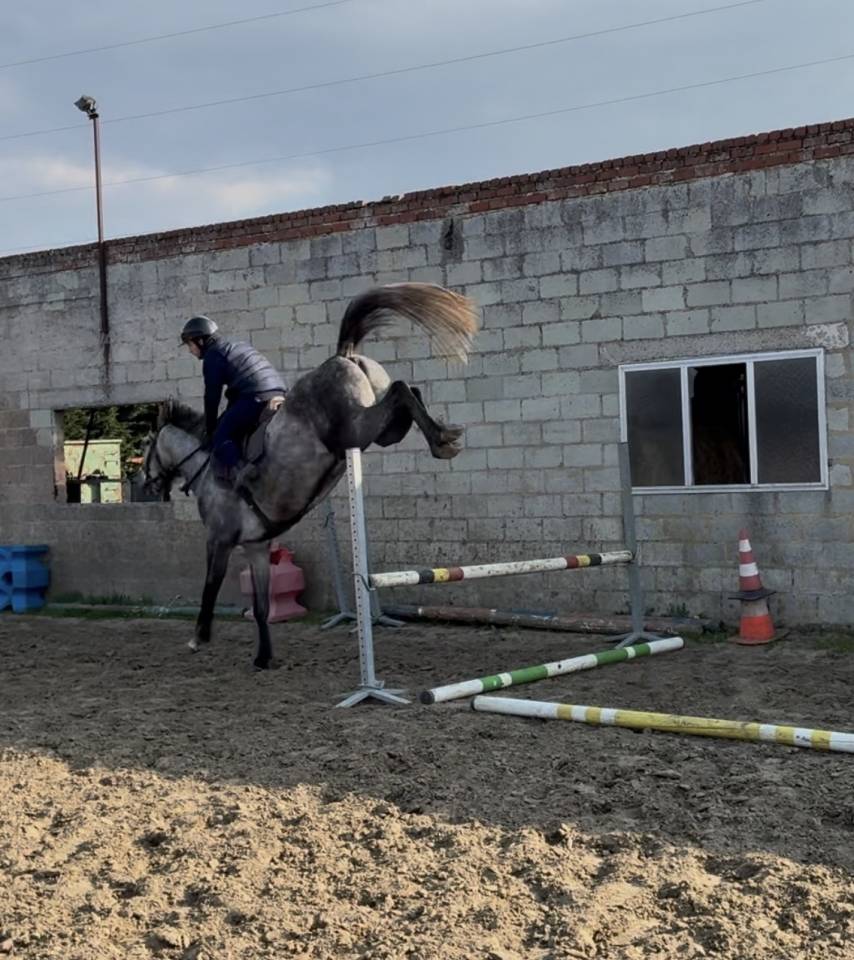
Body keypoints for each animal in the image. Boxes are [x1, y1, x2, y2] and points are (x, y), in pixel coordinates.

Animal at [142, 283, 479, 670]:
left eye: (146, 447)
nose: (146, 485)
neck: (205, 466)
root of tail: (345, 355)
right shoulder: (257, 547)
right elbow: (261, 607)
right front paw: (264, 657)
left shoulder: (220, 539)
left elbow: (210, 586)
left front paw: (199, 637)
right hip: (381, 432)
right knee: (409, 391)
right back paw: (443, 435)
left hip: (356, 430)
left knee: (401, 390)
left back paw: (441, 441)